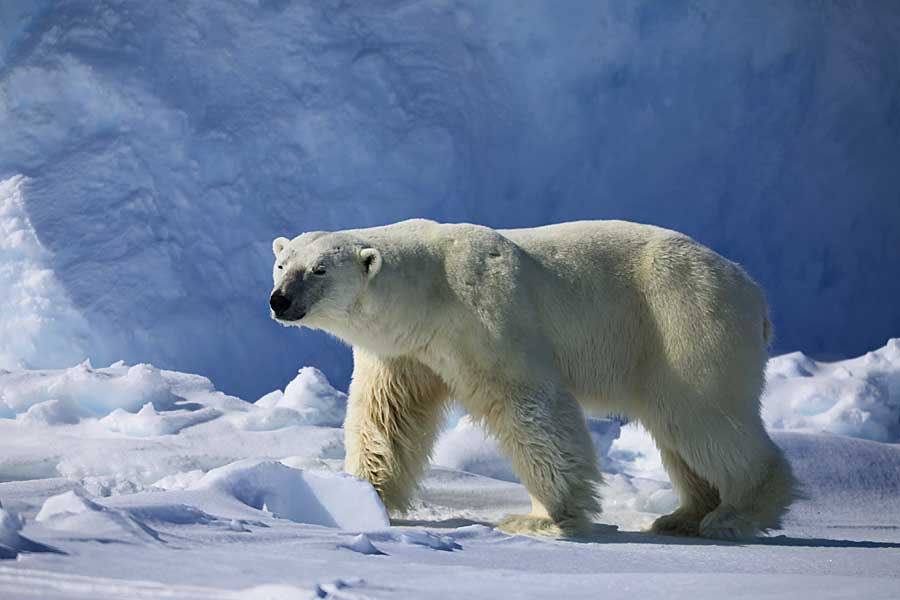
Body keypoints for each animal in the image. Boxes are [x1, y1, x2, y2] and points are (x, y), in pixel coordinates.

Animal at [268, 219, 796, 540]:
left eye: (319, 269)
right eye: (281, 263)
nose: (280, 300)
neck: (430, 290)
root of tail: (756, 294)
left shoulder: (487, 316)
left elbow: (530, 407)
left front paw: (542, 517)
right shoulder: (403, 352)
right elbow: (386, 419)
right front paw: (357, 497)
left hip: (683, 321)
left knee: (703, 416)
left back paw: (734, 514)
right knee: (679, 430)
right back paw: (682, 515)